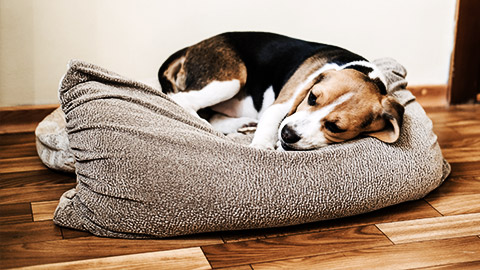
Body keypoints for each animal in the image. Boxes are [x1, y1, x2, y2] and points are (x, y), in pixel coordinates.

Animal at [159, 31, 404, 151]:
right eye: (312, 97)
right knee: (180, 100)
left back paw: (243, 125)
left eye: (335, 127)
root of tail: (191, 48)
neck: (366, 73)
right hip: (231, 81)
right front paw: (261, 146)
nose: (287, 134)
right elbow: (271, 120)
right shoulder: (283, 103)